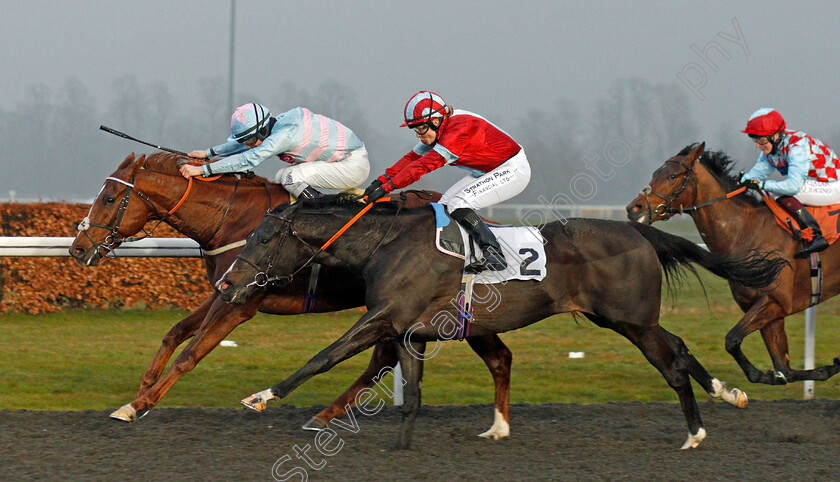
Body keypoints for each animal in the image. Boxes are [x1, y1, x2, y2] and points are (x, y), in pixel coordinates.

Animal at [69, 152, 516, 440]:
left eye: (109, 198)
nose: (77, 248)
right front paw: (141, 392)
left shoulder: (241, 303)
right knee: (482, 356)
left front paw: (137, 405)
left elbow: (191, 354)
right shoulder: (226, 288)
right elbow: (176, 332)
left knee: (386, 360)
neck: (234, 221)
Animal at [217, 195, 788, 448]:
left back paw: (695, 432)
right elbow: (413, 392)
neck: (386, 243)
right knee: (681, 347)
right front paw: (401, 445)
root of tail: (639, 231)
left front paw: (261, 397)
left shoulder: (385, 318)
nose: (225, 283)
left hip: (631, 320)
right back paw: (728, 393)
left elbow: (324, 356)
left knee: (670, 364)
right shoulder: (407, 330)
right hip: (623, 319)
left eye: (263, 238)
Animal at [624, 142, 840, 384]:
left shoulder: (778, 302)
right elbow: (784, 369)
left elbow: (732, 339)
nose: (634, 208)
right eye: (654, 174)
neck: (747, 230)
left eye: (672, 175)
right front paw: (823, 369)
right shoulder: (765, 310)